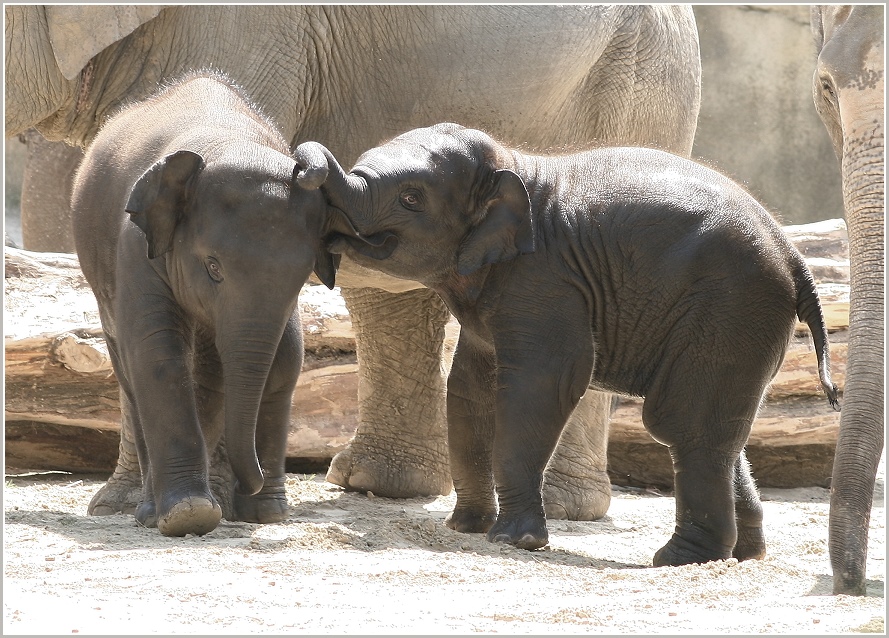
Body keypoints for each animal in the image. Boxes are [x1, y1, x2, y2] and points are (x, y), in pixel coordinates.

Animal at [71, 72, 348, 536]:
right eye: (213, 266)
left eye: (302, 278)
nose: (253, 483)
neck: (231, 141)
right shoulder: (137, 245)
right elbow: (157, 355)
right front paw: (189, 515)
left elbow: (228, 371)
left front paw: (227, 509)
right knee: (130, 370)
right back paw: (157, 509)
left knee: (271, 360)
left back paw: (257, 510)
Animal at [298, 122, 840, 568]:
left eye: (412, 198)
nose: (305, 175)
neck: (515, 164)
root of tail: (794, 257)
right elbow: (470, 389)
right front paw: (467, 528)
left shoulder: (544, 281)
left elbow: (541, 385)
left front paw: (513, 541)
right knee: (721, 431)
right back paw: (744, 555)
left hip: (730, 309)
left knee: (683, 423)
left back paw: (680, 560)